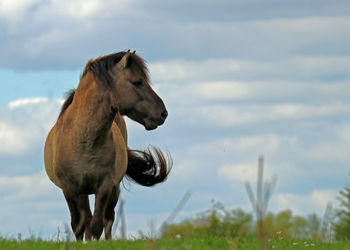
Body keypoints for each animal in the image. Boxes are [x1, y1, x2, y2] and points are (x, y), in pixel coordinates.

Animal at [43, 49, 172, 240]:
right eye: (137, 82)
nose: (163, 113)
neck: (84, 141)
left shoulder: (104, 187)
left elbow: (97, 224)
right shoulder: (71, 189)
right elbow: (78, 225)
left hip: (114, 191)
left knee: (108, 219)